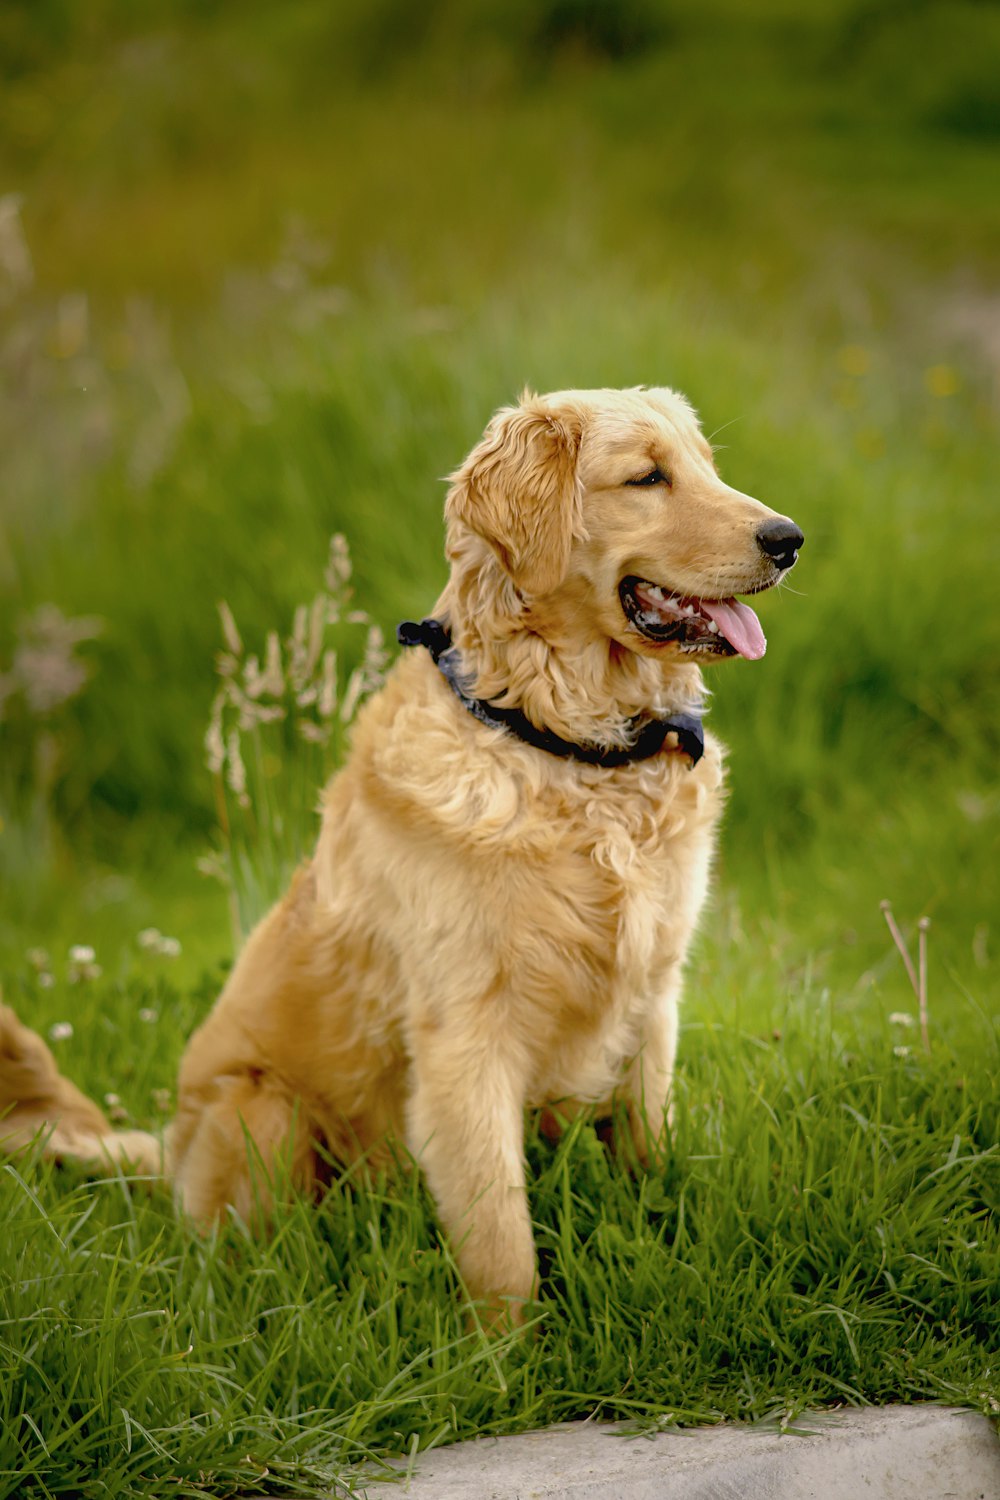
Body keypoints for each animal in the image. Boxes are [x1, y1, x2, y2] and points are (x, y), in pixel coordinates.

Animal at [0, 387, 803, 1326]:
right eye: (647, 478)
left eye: (707, 467)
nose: (788, 539)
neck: (564, 747)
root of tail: (168, 1151)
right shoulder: (466, 1037)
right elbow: (499, 1239)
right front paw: (505, 1351)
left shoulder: (652, 999)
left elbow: (646, 1158)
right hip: (261, 1110)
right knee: (244, 1254)